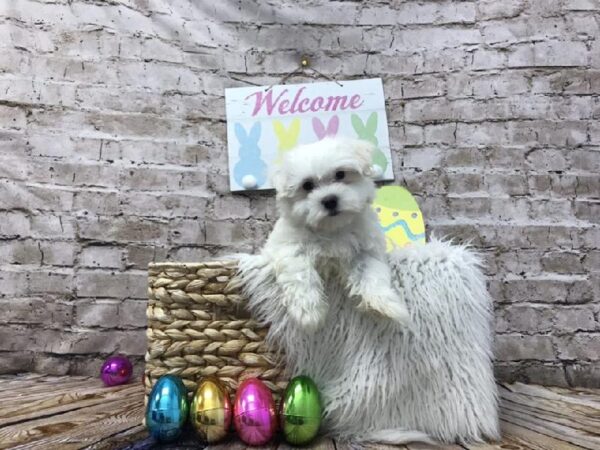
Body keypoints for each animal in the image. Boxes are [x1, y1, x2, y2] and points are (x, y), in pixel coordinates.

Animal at [264, 137, 410, 330]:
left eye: (340, 174)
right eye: (307, 185)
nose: (329, 200)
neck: (332, 228)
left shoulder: (365, 250)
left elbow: (371, 273)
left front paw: (384, 305)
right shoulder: (289, 248)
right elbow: (300, 274)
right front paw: (309, 313)